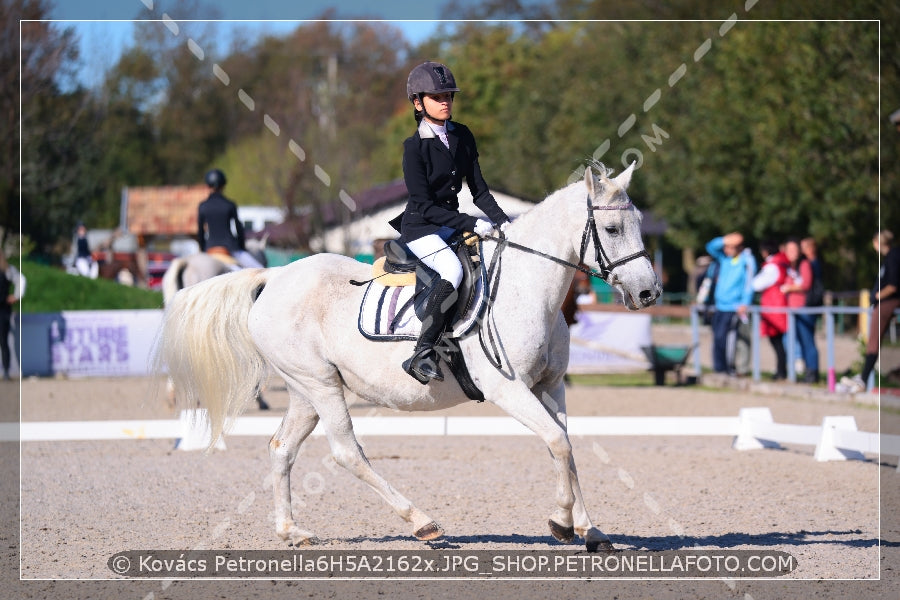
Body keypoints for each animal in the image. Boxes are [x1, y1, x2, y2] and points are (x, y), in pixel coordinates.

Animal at [156, 162, 660, 552]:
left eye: (637, 224)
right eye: (612, 229)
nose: (648, 292)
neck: (526, 284)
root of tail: (274, 277)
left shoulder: (549, 386)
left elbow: (567, 447)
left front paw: (590, 530)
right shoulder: (510, 389)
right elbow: (557, 442)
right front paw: (561, 522)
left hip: (305, 389)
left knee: (282, 448)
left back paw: (291, 532)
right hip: (321, 386)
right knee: (347, 453)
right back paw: (424, 524)